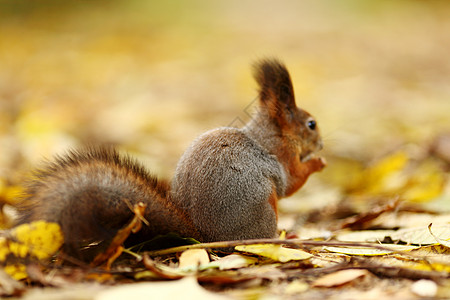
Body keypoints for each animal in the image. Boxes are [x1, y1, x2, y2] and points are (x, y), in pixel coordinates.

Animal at [15, 58, 326, 260]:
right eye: (311, 124)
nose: (322, 143)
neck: (267, 136)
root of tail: (203, 237)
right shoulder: (281, 160)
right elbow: (291, 182)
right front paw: (317, 163)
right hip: (264, 212)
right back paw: (286, 239)